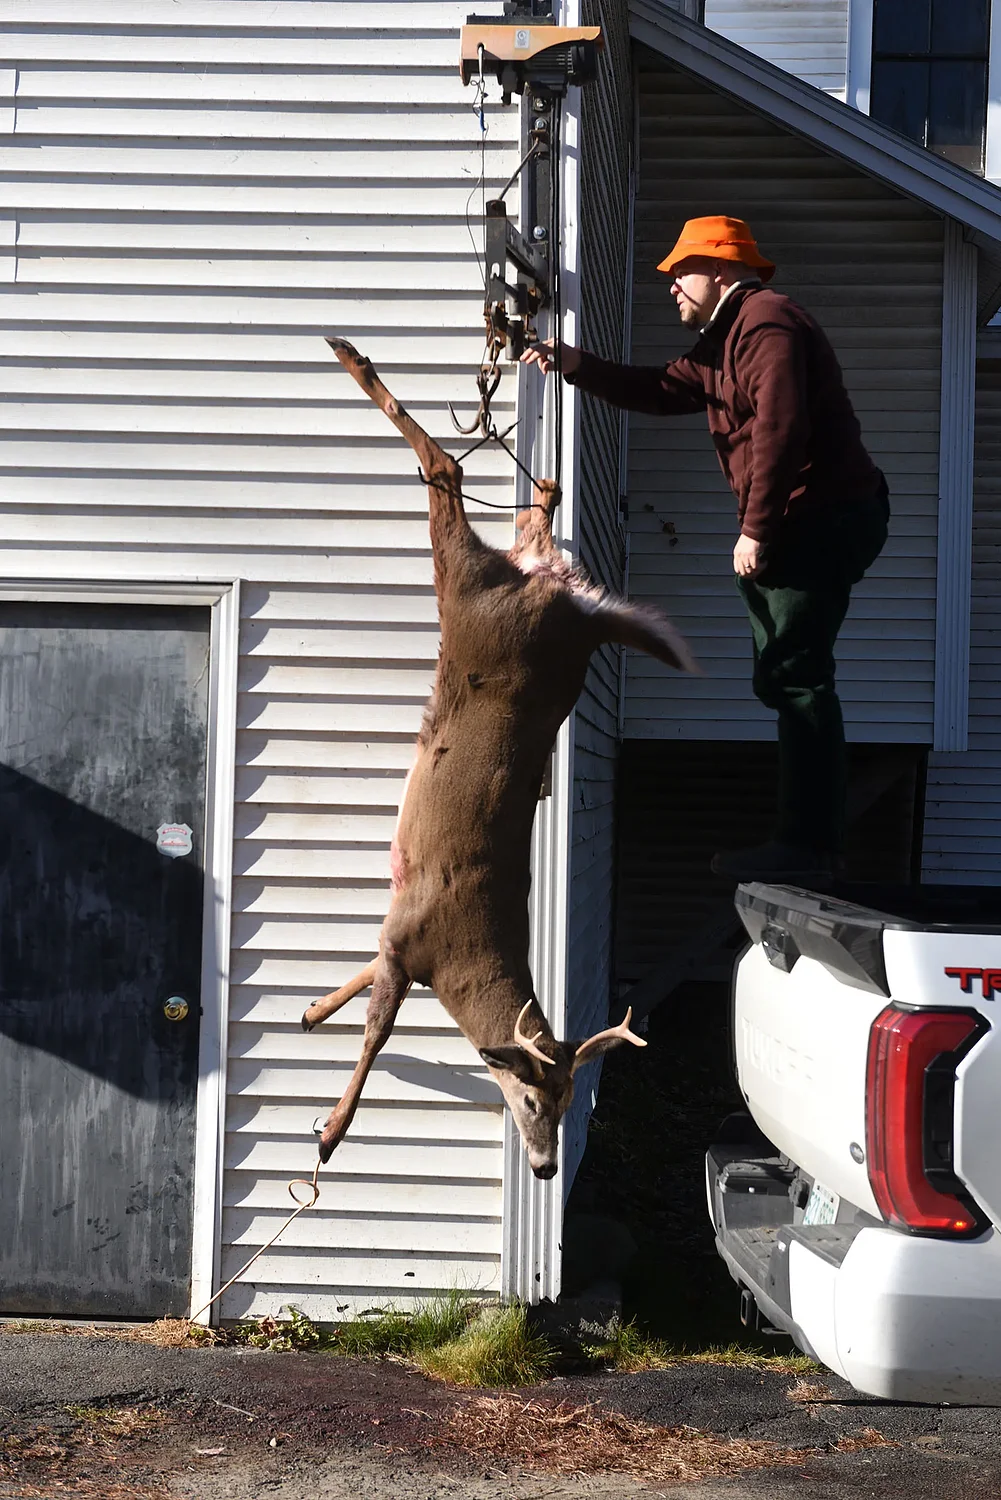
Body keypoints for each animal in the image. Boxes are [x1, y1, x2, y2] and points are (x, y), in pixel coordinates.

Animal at [302, 339, 696, 1180]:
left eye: (571, 1101)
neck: (462, 961)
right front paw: (330, 1130)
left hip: (486, 585)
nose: (545, 1168)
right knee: (446, 469)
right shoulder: (411, 937)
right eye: (531, 1101)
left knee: (491, 497)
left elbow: (364, 980)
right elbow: (377, 1028)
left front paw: (314, 1013)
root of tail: (580, 619)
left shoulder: (398, 928)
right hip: (473, 593)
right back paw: (355, 359)